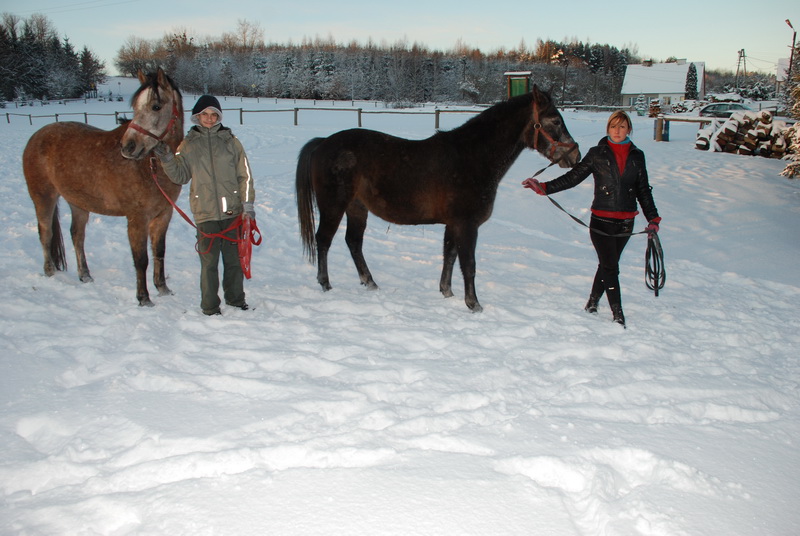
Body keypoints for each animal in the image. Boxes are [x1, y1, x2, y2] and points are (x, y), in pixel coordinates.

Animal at [22, 68, 186, 306]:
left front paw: (163, 289)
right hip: (43, 196)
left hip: (78, 203)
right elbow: (141, 259)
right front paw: (144, 298)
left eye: (156, 106)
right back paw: (50, 272)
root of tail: (36, 136)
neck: (150, 166)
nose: (128, 147)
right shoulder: (137, 218)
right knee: (46, 233)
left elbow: (159, 252)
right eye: (135, 107)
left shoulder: (164, 215)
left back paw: (85, 276)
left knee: (77, 236)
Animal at [296, 86, 580, 312]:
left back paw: (370, 283)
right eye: (555, 120)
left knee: (353, 242)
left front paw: (447, 292)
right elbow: (469, 263)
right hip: (333, 206)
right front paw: (474, 305)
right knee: (324, 240)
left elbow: (450, 256)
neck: (472, 157)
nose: (575, 155)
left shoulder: (453, 224)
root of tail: (323, 142)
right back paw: (326, 284)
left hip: (357, 208)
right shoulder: (466, 224)